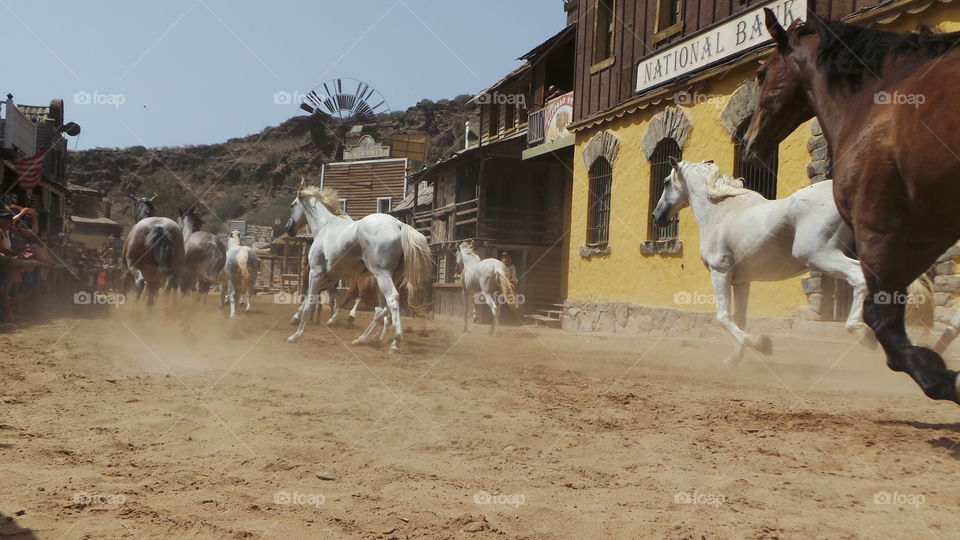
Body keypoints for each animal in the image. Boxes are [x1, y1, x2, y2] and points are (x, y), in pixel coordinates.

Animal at [284, 184, 432, 353]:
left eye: (292, 205)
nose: (288, 228)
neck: (325, 226)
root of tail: (399, 225)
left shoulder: (316, 273)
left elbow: (310, 302)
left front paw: (296, 335)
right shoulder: (330, 278)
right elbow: (318, 299)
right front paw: (296, 319)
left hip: (381, 275)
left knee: (391, 301)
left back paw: (394, 343)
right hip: (391, 277)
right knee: (382, 309)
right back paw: (362, 339)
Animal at [742, 10, 960, 402]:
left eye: (761, 74)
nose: (749, 143)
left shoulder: (880, 227)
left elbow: (881, 317)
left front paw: (943, 378)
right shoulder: (926, 234)